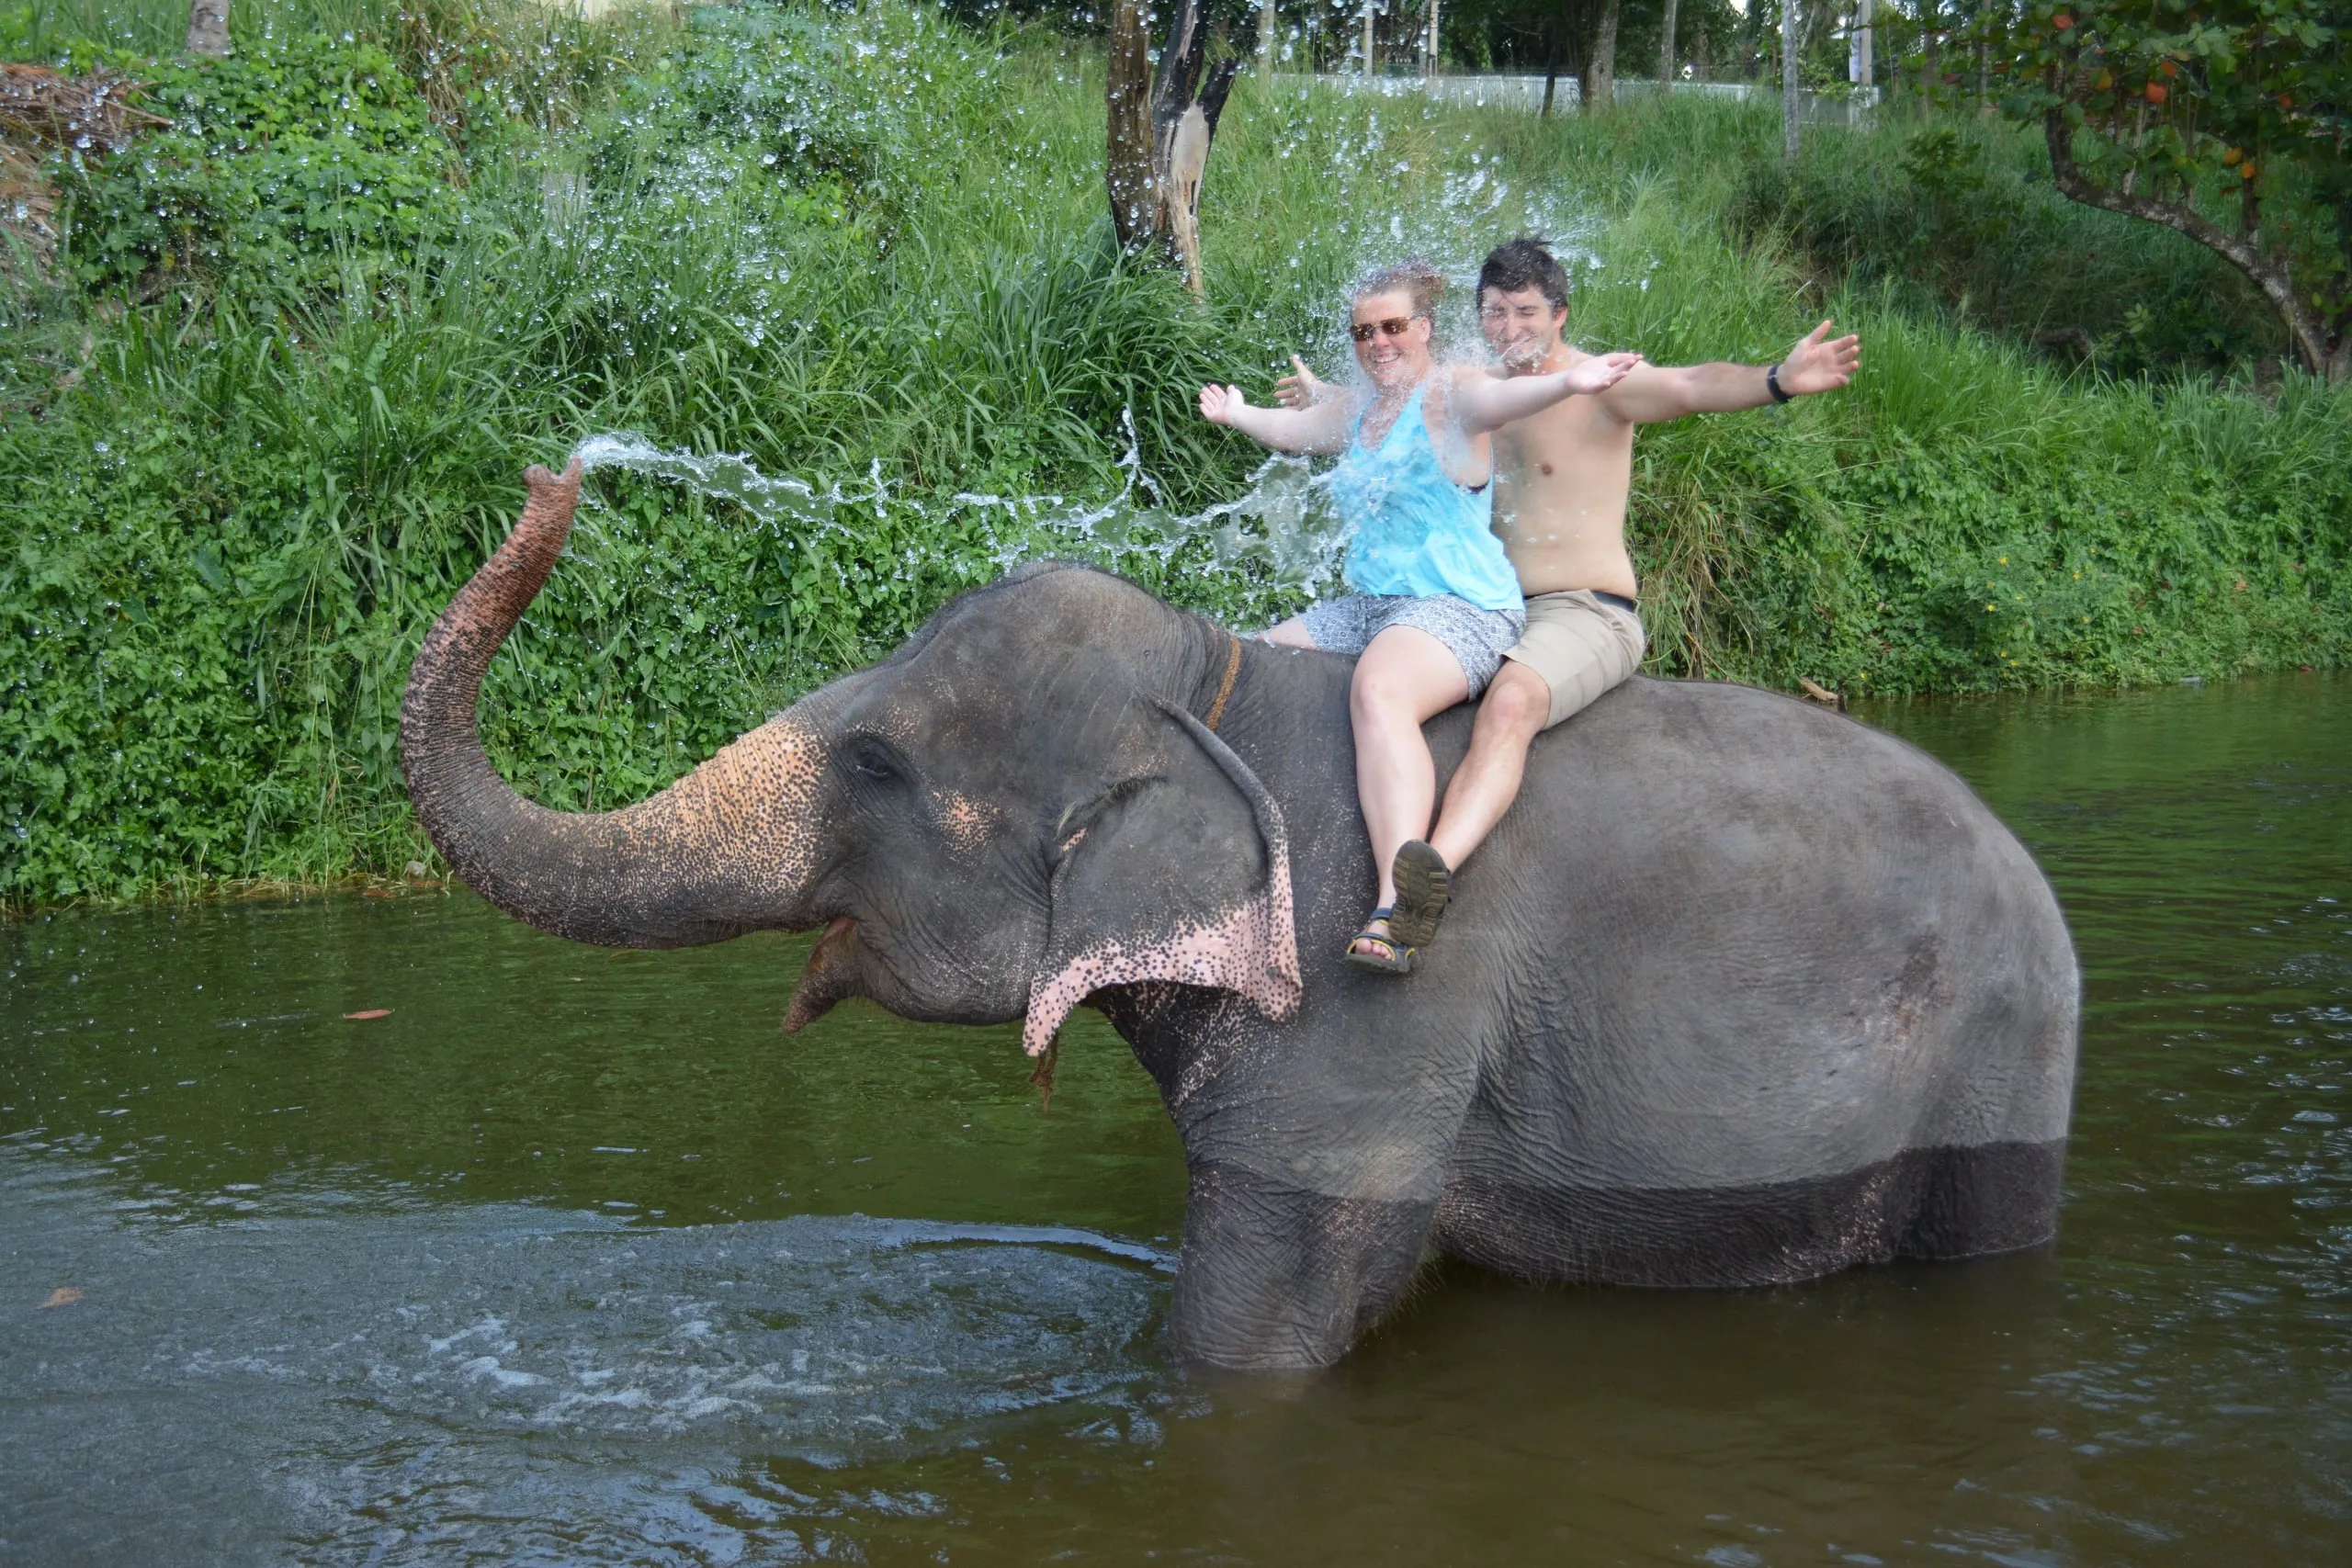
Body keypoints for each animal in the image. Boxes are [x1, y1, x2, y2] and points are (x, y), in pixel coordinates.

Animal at [400, 462, 2080, 1372]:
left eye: (878, 763)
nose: (554, 481)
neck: (1221, 695)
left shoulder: (1369, 1001)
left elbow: (1264, 1319)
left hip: (1998, 1076)